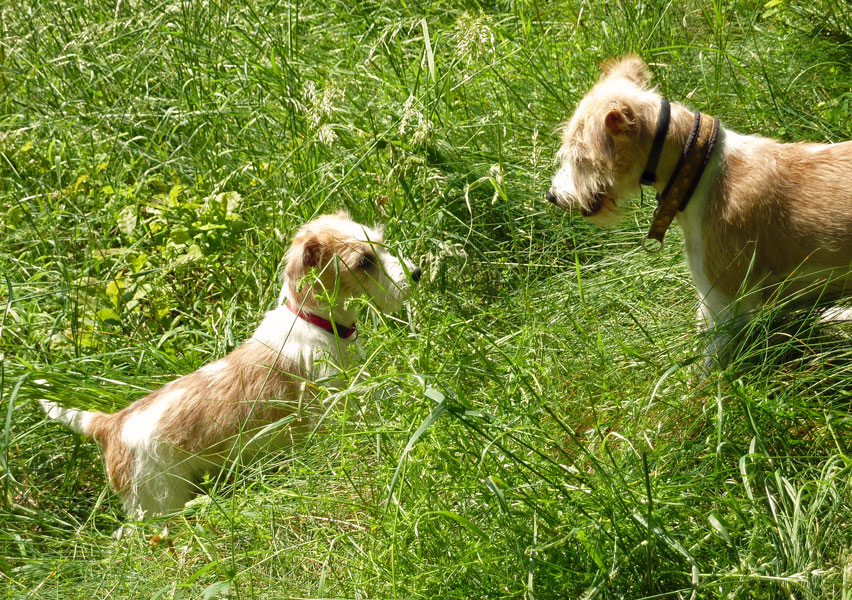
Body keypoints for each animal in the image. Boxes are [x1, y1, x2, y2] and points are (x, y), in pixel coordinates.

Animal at [40, 212, 421, 520]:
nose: (416, 274)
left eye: (380, 245)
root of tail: (110, 424)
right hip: (158, 503)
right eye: (364, 261)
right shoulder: (336, 405)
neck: (312, 320)